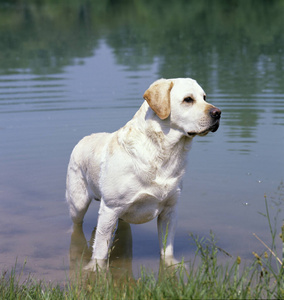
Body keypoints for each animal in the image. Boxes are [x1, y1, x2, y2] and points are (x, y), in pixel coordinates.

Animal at [65, 78, 221, 270]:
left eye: (204, 97)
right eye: (188, 99)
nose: (218, 113)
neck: (163, 154)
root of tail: (83, 139)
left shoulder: (170, 210)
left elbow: (167, 248)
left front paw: (169, 265)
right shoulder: (110, 209)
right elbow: (100, 251)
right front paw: (97, 269)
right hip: (78, 202)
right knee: (76, 225)